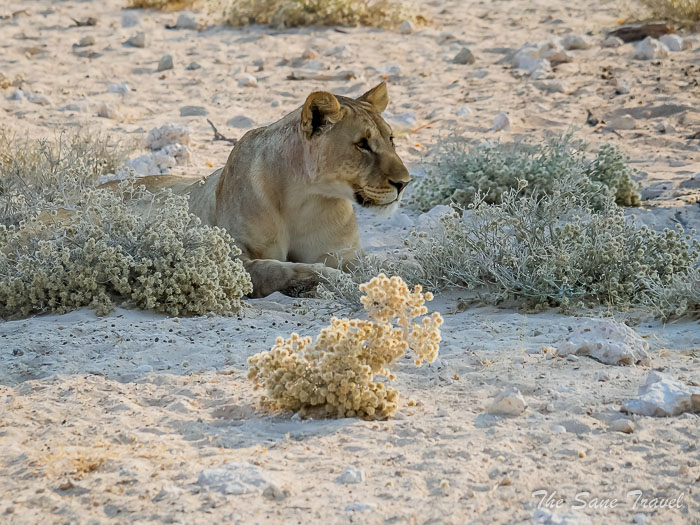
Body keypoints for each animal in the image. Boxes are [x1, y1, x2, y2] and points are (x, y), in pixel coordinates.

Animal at [149, 82, 411, 298]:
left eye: (391, 139)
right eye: (362, 145)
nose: (405, 182)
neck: (307, 198)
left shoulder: (344, 253)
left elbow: (382, 265)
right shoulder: (232, 259)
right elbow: (276, 269)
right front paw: (328, 278)